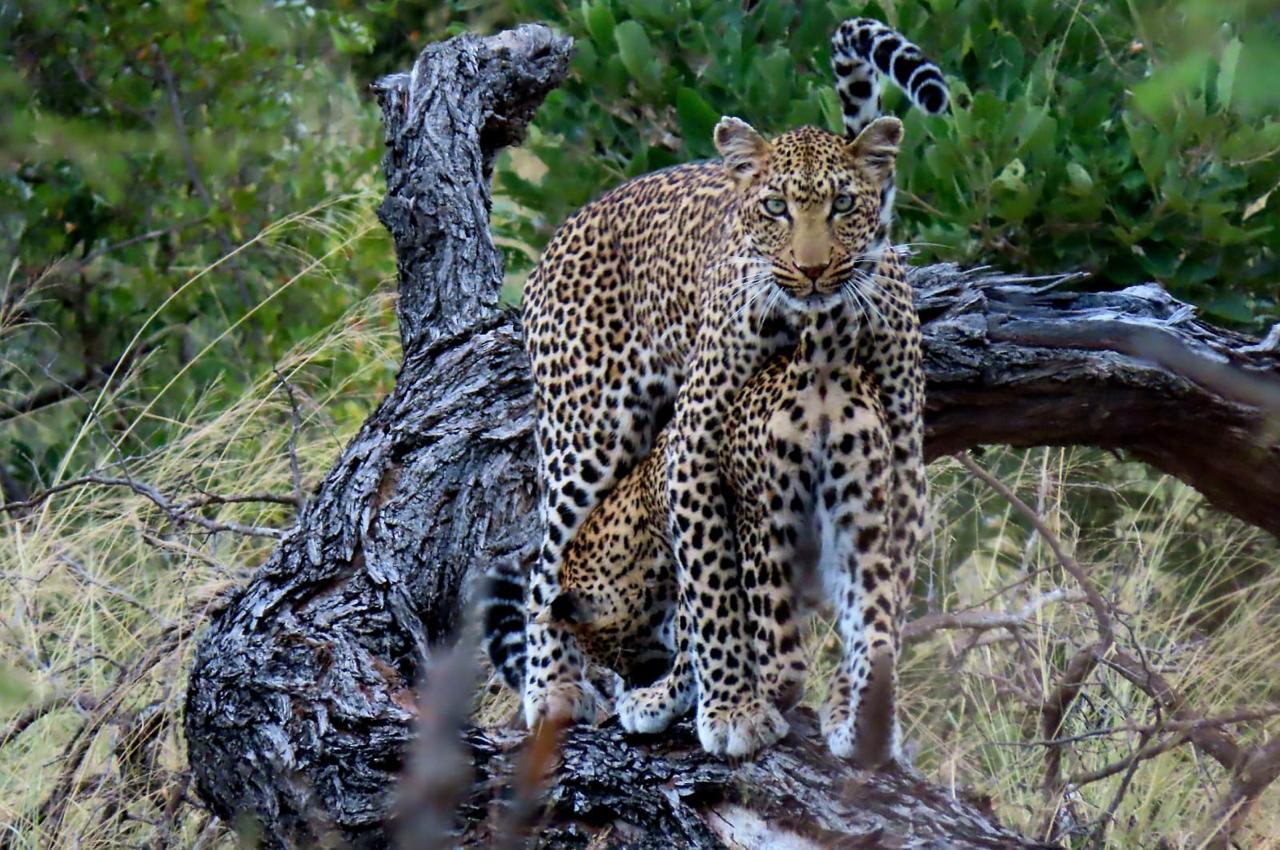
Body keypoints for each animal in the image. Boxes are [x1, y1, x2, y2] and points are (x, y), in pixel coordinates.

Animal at [483, 17, 946, 759]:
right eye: (774, 208)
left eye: (844, 205)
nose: (812, 270)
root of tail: (569, 226)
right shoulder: (697, 446)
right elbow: (712, 594)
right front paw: (731, 708)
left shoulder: (899, 459)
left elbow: (877, 602)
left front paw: (859, 716)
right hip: (587, 437)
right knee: (545, 561)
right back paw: (552, 687)